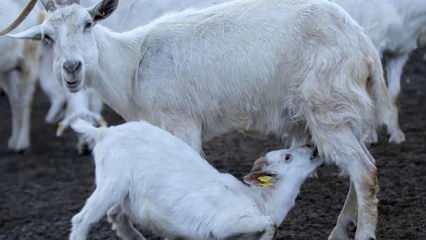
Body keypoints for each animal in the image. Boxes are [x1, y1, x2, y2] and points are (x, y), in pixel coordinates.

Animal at [0, 0, 40, 151]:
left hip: (28, 66)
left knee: (24, 102)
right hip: (6, 71)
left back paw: (22, 143)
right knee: (15, 102)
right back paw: (14, 140)